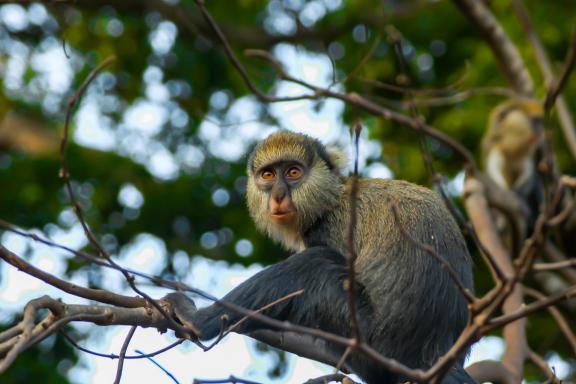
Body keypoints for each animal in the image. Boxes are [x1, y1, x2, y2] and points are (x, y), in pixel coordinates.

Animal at [164, 130, 474, 382]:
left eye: (293, 173)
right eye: (268, 175)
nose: (278, 195)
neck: (331, 199)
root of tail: (432, 353)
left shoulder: (331, 230)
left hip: (370, 341)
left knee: (314, 264)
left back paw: (198, 321)